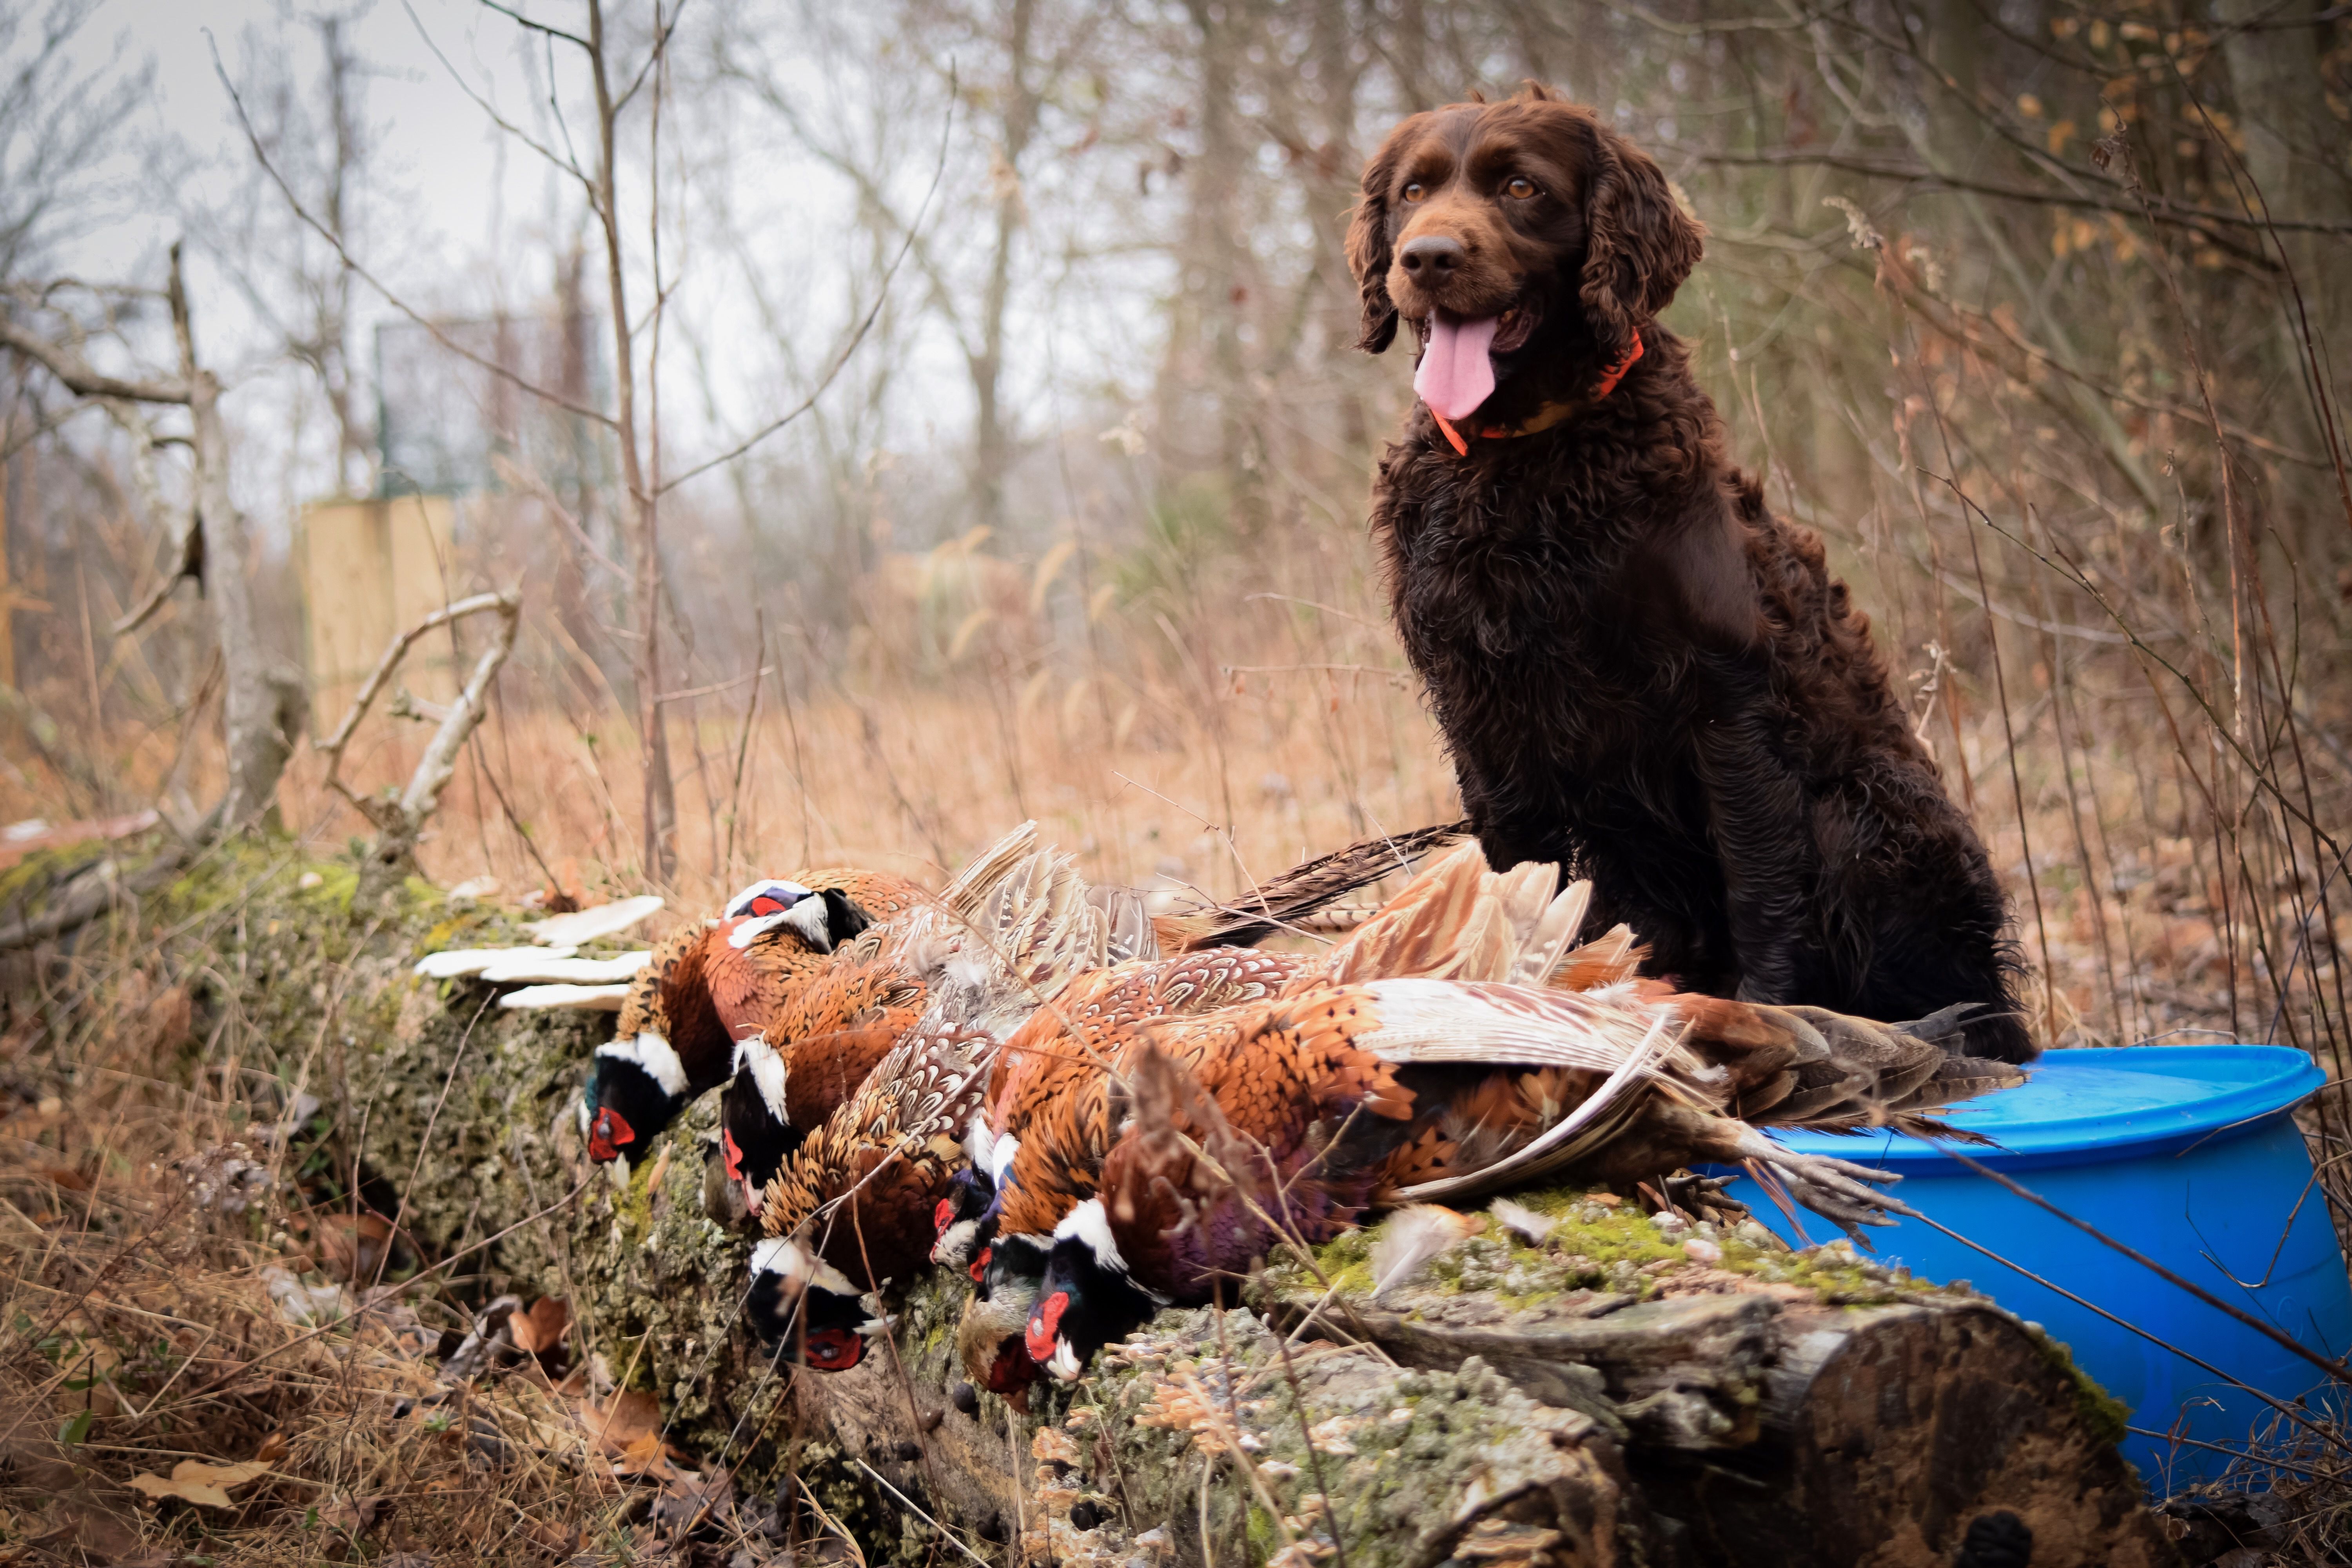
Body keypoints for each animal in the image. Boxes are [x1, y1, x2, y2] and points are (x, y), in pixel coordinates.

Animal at [1355, 89, 2032, 1067]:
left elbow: (1761, 889)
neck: (1527, 460)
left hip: (1863, 808)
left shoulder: (1725, 701)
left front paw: (1761, 1020)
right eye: (1413, 191)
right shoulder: (1479, 710)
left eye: (1521, 187)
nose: (1428, 257)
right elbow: (1516, 873)